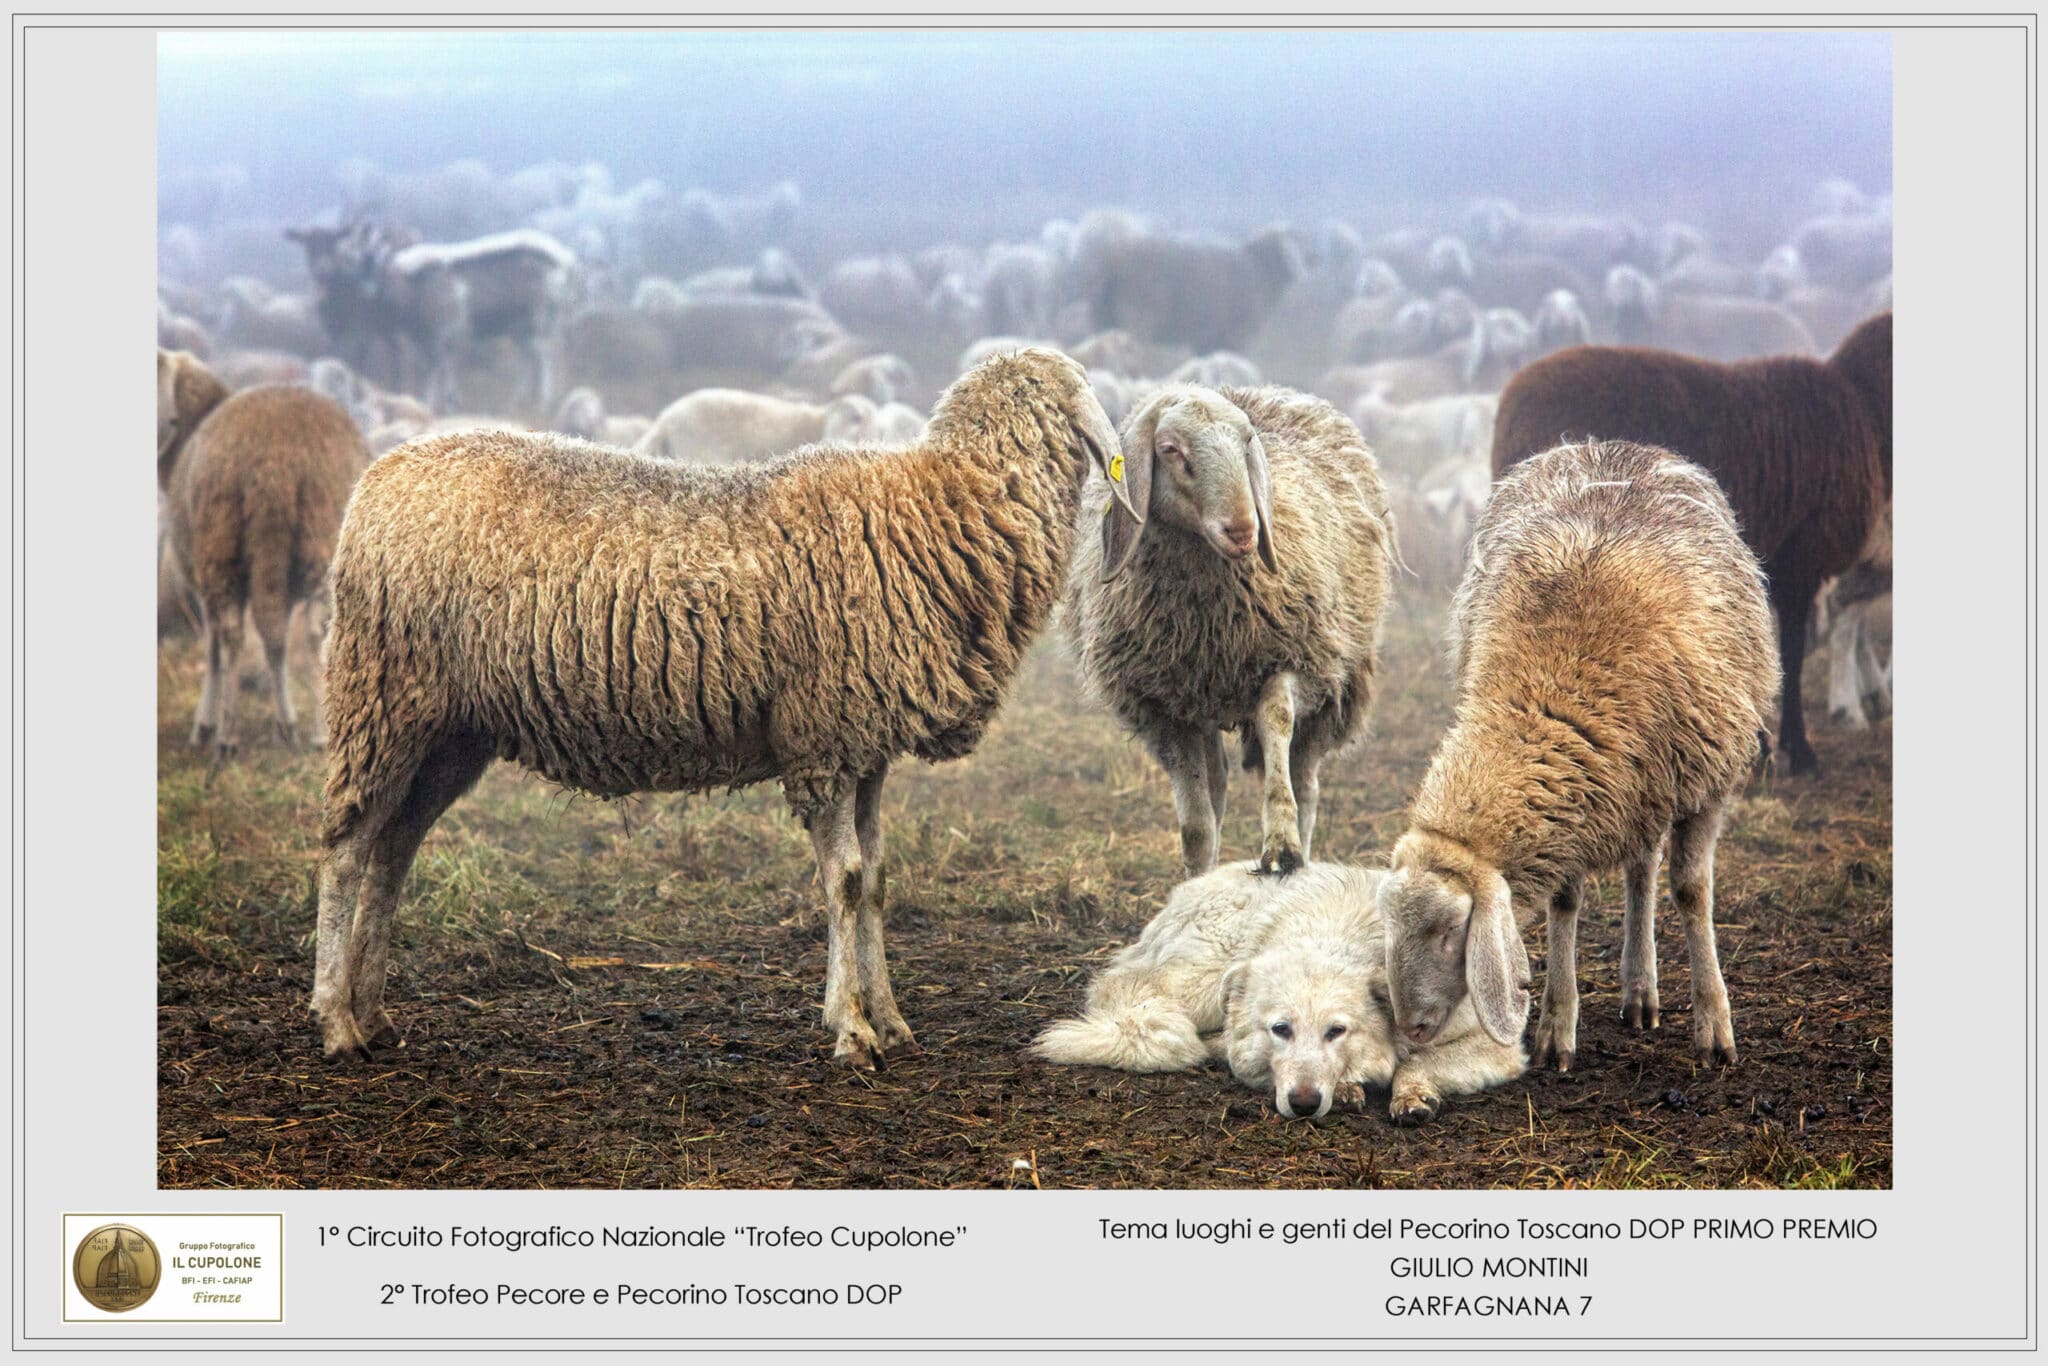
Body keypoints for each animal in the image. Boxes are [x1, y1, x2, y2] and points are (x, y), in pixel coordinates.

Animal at [159, 350, 372, 757]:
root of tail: (279, 462)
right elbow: (277, 646)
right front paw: (285, 723)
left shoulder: (200, 581)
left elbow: (213, 649)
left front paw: (203, 726)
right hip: (320, 535)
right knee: (314, 633)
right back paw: (320, 733)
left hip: (221, 547)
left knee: (232, 636)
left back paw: (227, 736)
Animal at [315, 356, 1138, 1081]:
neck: (942, 510)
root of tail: (377, 479)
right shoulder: (823, 736)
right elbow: (843, 882)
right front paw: (852, 1030)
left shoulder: (866, 747)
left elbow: (875, 880)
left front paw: (893, 1021)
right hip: (381, 695)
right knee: (347, 849)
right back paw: (336, 1021)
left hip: (451, 731)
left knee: (393, 850)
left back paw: (373, 1015)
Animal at [1056, 385, 1409, 876]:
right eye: (1170, 450)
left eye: (1246, 443)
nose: (1244, 530)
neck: (1212, 624)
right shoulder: (1164, 709)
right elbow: (1197, 825)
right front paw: (1197, 872)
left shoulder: (1299, 658)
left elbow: (1275, 718)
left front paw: (1281, 843)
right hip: (1200, 702)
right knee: (1217, 784)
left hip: (1337, 689)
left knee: (1306, 782)